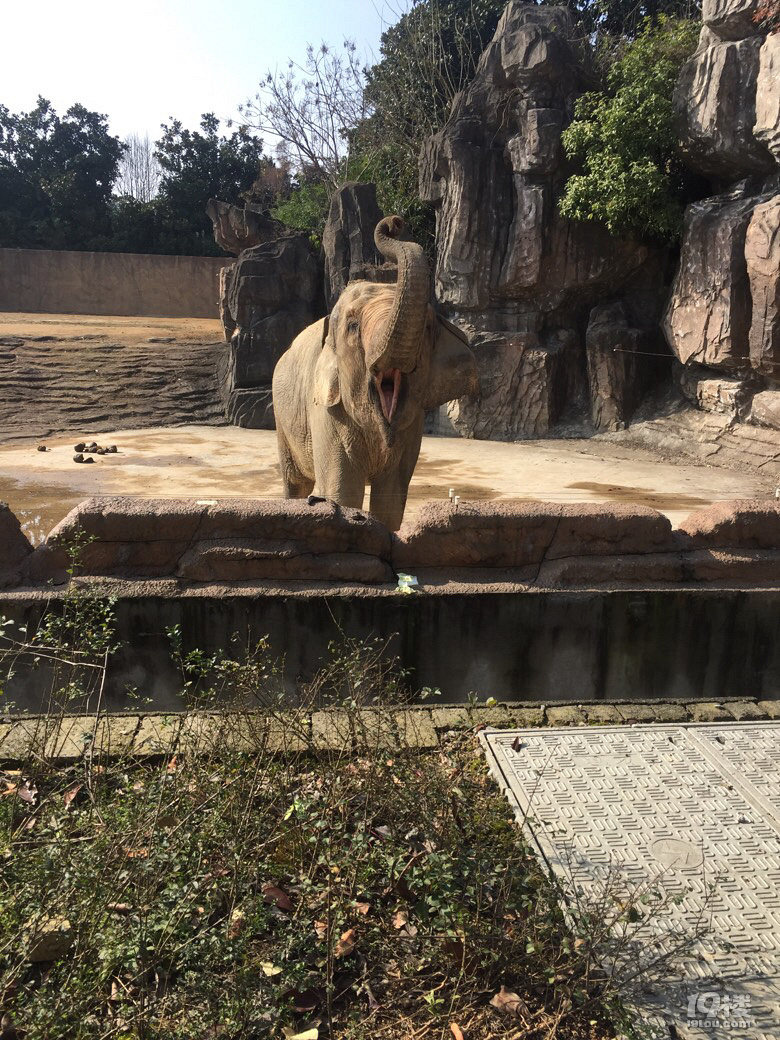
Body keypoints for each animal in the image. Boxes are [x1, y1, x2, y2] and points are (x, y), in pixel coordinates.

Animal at [272, 216, 480, 532]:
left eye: (427, 327)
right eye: (353, 326)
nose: (394, 222)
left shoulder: (412, 426)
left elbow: (391, 498)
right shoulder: (326, 410)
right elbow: (342, 491)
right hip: (282, 418)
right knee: (294, 482)